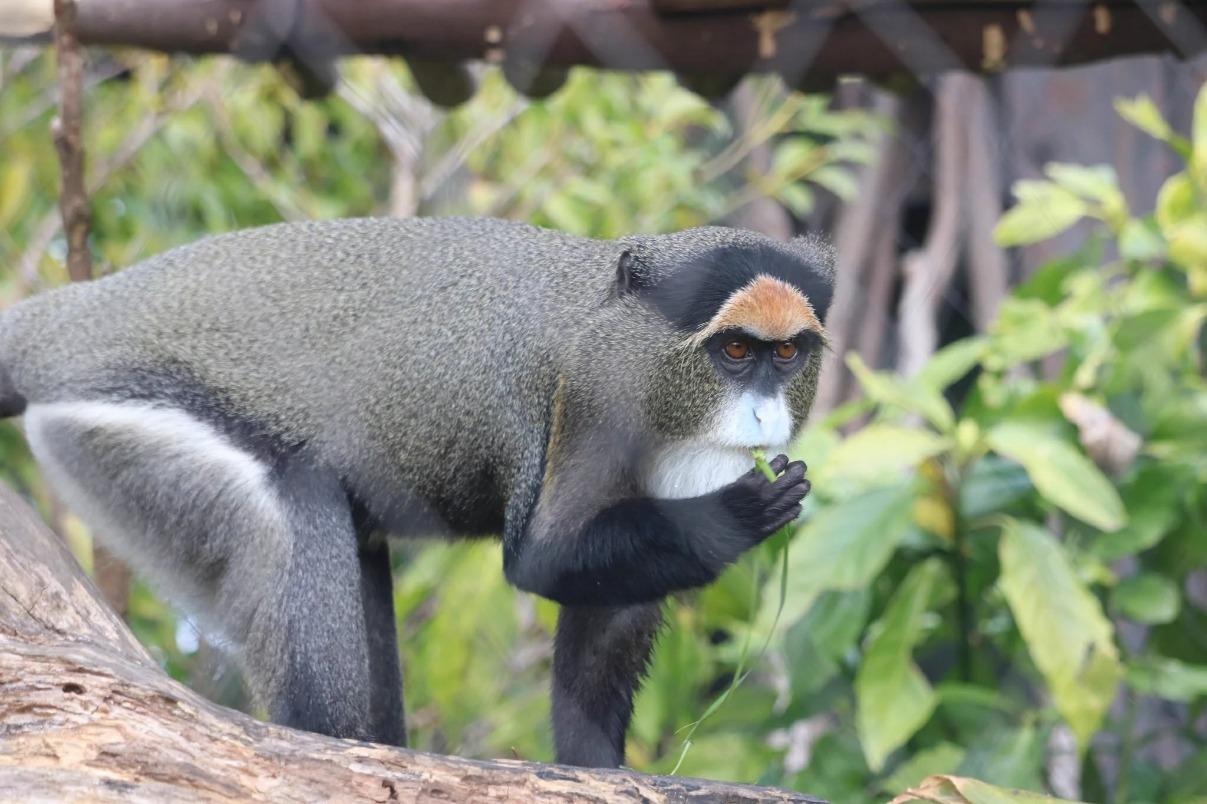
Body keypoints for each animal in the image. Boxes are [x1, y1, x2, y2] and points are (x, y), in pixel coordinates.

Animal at [0, 216, 830, 767]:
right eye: (733, 351)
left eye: (787, 355)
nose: (764, 415)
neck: (627, 336)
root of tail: (68, 320)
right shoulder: (585, 402)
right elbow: (545, 559)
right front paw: (742, 511)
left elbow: (610, 613)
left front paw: (595, 773)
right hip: (136, 434)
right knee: (294, 508)